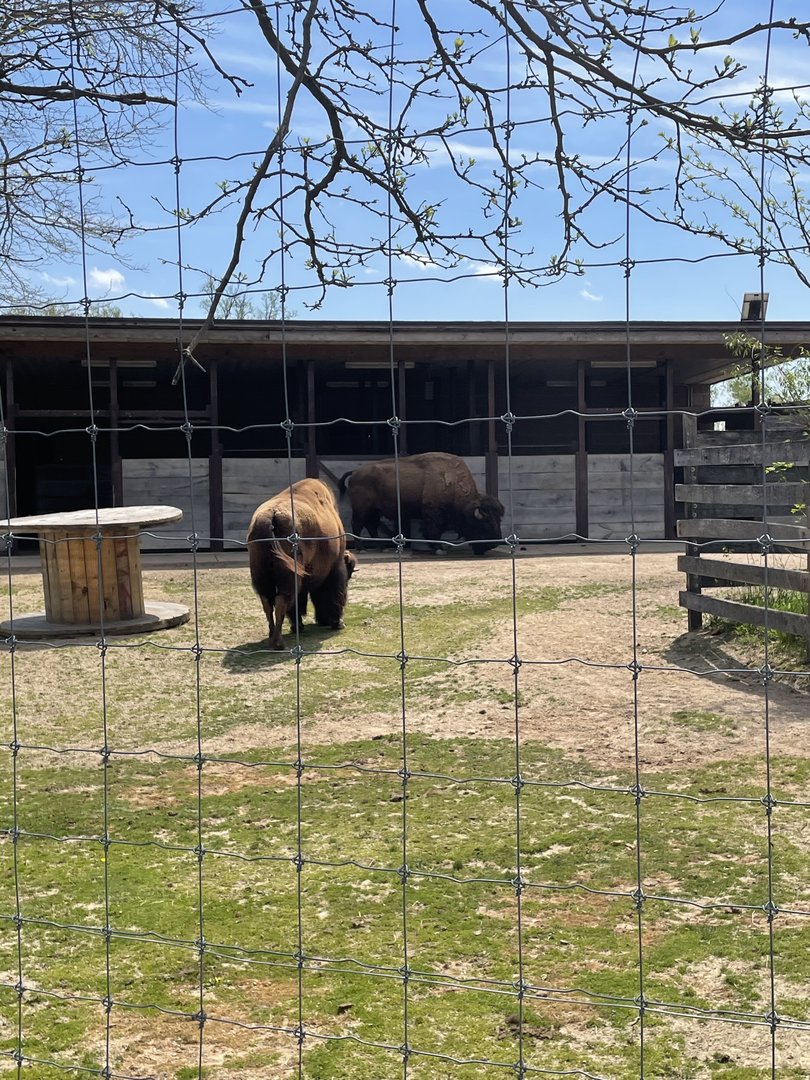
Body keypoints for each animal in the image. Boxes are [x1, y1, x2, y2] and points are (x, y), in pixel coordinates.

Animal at [247, 478, 356, 650]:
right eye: (349, 573)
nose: (323, 621)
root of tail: (271, 514)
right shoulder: (335, 567)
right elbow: (335, 592)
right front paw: (338, 623)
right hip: (289, 577)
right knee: (281, 601)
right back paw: (278, 643)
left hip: (261, 576)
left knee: (267, 602)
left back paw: (272, 636)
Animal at [339, 452, 505, 556]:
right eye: (484, 524)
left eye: (498, 520)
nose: (494, 544)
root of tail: (355, 472)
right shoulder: (433, 513)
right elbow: (434, 531)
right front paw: (439, 549)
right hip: (362, 509)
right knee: (357, 524)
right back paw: (361, 549)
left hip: (375, 510)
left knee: (371, 525)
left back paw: (381, 548)